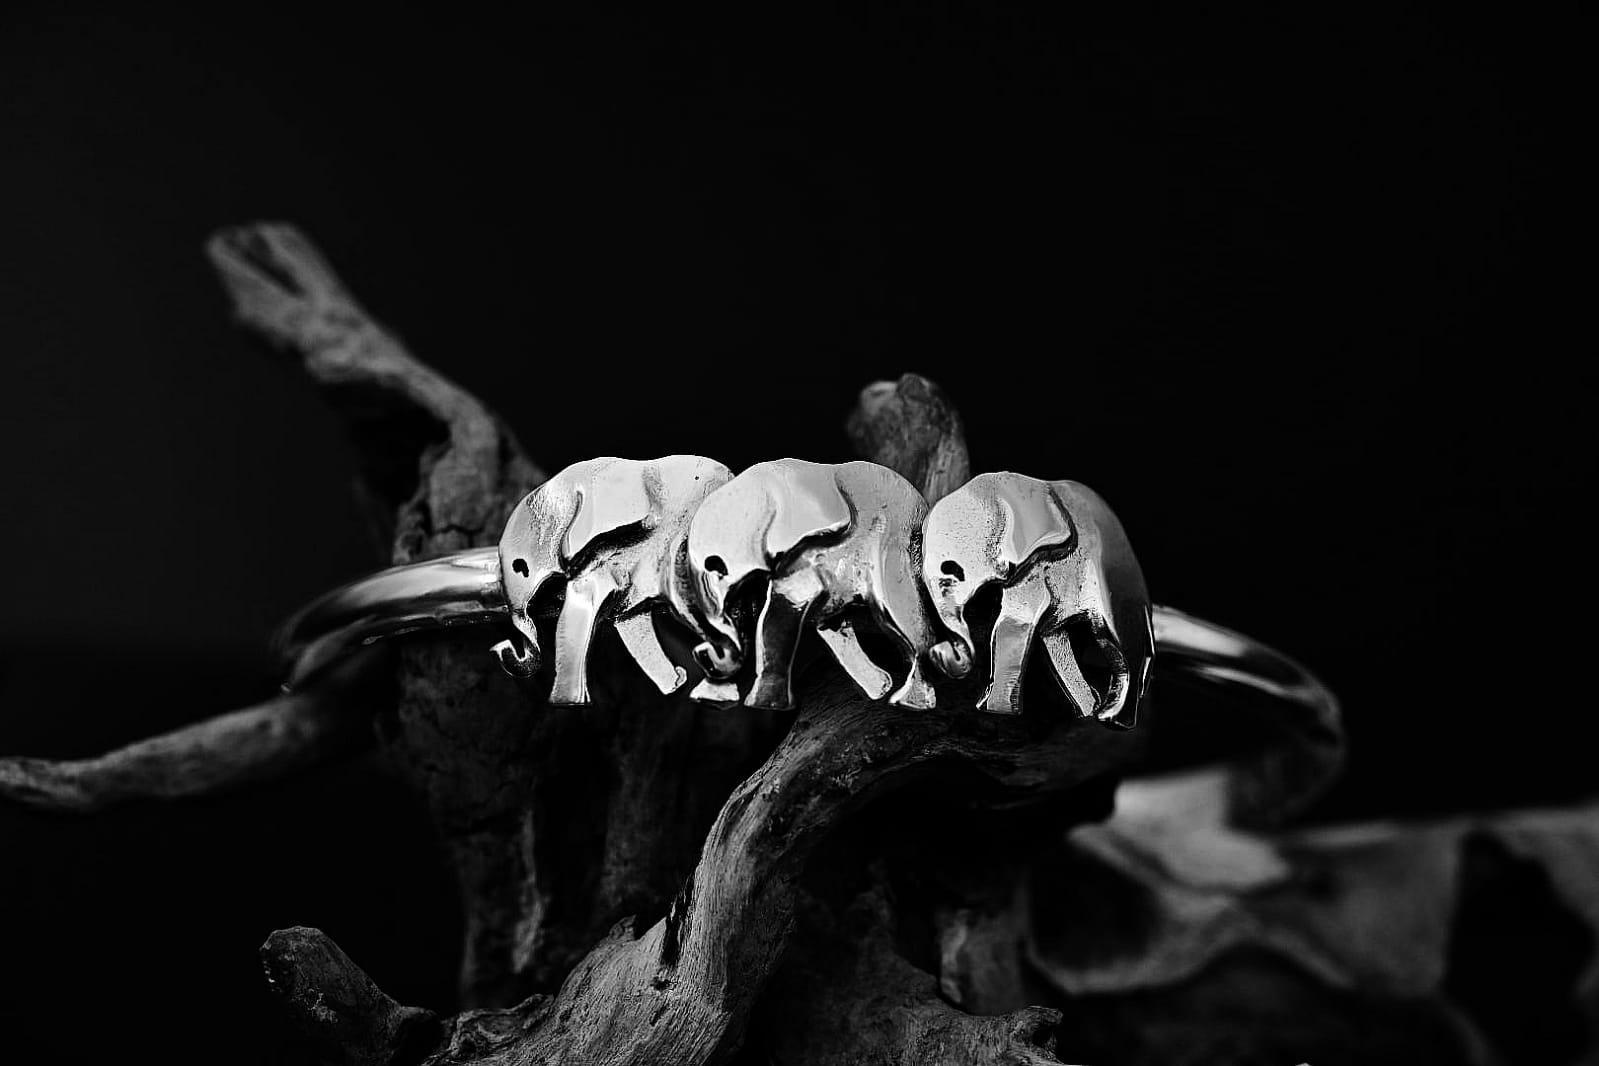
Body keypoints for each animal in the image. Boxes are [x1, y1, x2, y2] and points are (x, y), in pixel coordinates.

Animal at [685, 458, 963, 710]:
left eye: (715, 564)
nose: (701, 652)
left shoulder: (802, 554)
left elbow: (781, 612)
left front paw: (763, 705)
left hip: (894, 546)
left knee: (896, 615)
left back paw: (907, 702)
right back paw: (882, 691)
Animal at [921, 472, 1154, 726]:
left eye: (952, 569)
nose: (939, 652)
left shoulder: (1036, 565)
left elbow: (1012, 623)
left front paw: (996, 710)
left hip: (1115, 589)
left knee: (1115, 641)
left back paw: (1111, 717)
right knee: (1054, 637)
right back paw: (1089, 709)